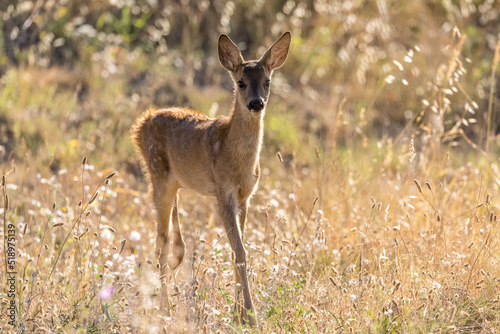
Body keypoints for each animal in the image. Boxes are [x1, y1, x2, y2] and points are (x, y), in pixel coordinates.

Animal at [131, 32, 292, 326]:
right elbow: (240, 251)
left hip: (173, 182)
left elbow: (235, 250)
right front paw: (249, 316)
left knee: (175, 241)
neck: (236, 158)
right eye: (240, 82)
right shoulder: (222, 191)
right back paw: (163, 307)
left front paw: (238, 313)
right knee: (160, 242)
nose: (256, 103)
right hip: (157, 175)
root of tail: (139, 124)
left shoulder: (245, 196)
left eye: (267, 81)